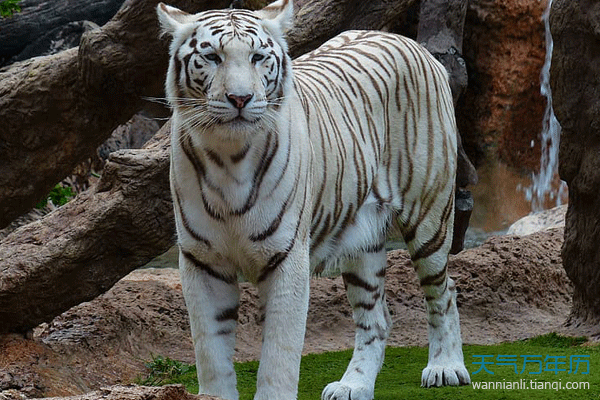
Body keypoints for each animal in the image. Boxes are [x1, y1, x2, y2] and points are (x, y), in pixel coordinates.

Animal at [157, 1, 472, 398]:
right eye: (212, 57)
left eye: (258, 57)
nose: (240, 99)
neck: (229, 156)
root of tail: (406, 40)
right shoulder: (202, 260)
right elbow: (211, 353)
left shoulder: (286, 255)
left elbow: (279, 355)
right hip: (362, 241)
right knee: (376, 319)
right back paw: (354, 385)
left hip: (429, 214)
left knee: (444, 291)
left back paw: (446, 367)